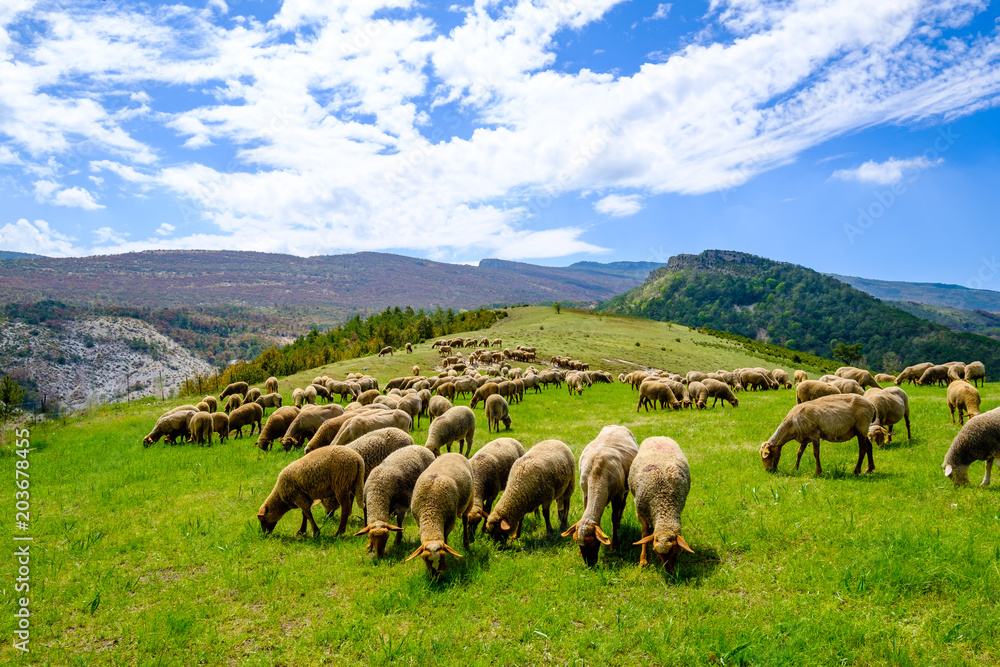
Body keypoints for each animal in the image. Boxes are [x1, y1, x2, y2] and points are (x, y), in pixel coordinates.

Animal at [563, 426, 639, 567]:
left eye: (594, 543)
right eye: (579, 545)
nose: (590, 566)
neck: (597, 476)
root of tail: (617, 425)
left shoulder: (618, 494)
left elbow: (614, 518)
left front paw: (614, 545)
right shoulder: (585, 492)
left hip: (625, 488)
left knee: (622, 506)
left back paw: (619, 524)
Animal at [629, 437, 694, 573]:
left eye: (676, 551)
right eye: (657, 552)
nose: (669, 572)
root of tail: (658, 436)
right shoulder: (640, 513)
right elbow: (645, 534)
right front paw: (643, 561)